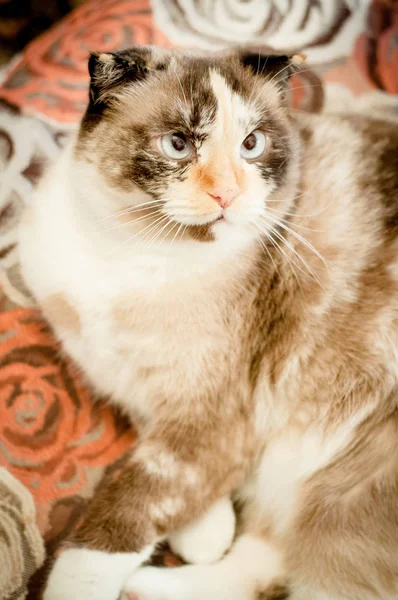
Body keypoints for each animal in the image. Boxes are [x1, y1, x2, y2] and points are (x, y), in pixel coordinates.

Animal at [17, 43, 398, 600]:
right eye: (178, 145)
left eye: (251, 145)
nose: (227, 195)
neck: (134, 256)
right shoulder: (147, 397)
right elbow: (182, 488)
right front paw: (204, 532)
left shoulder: (209, 419)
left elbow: (120, 520)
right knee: (264, 561)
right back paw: (149, 585)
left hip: (343, 489)